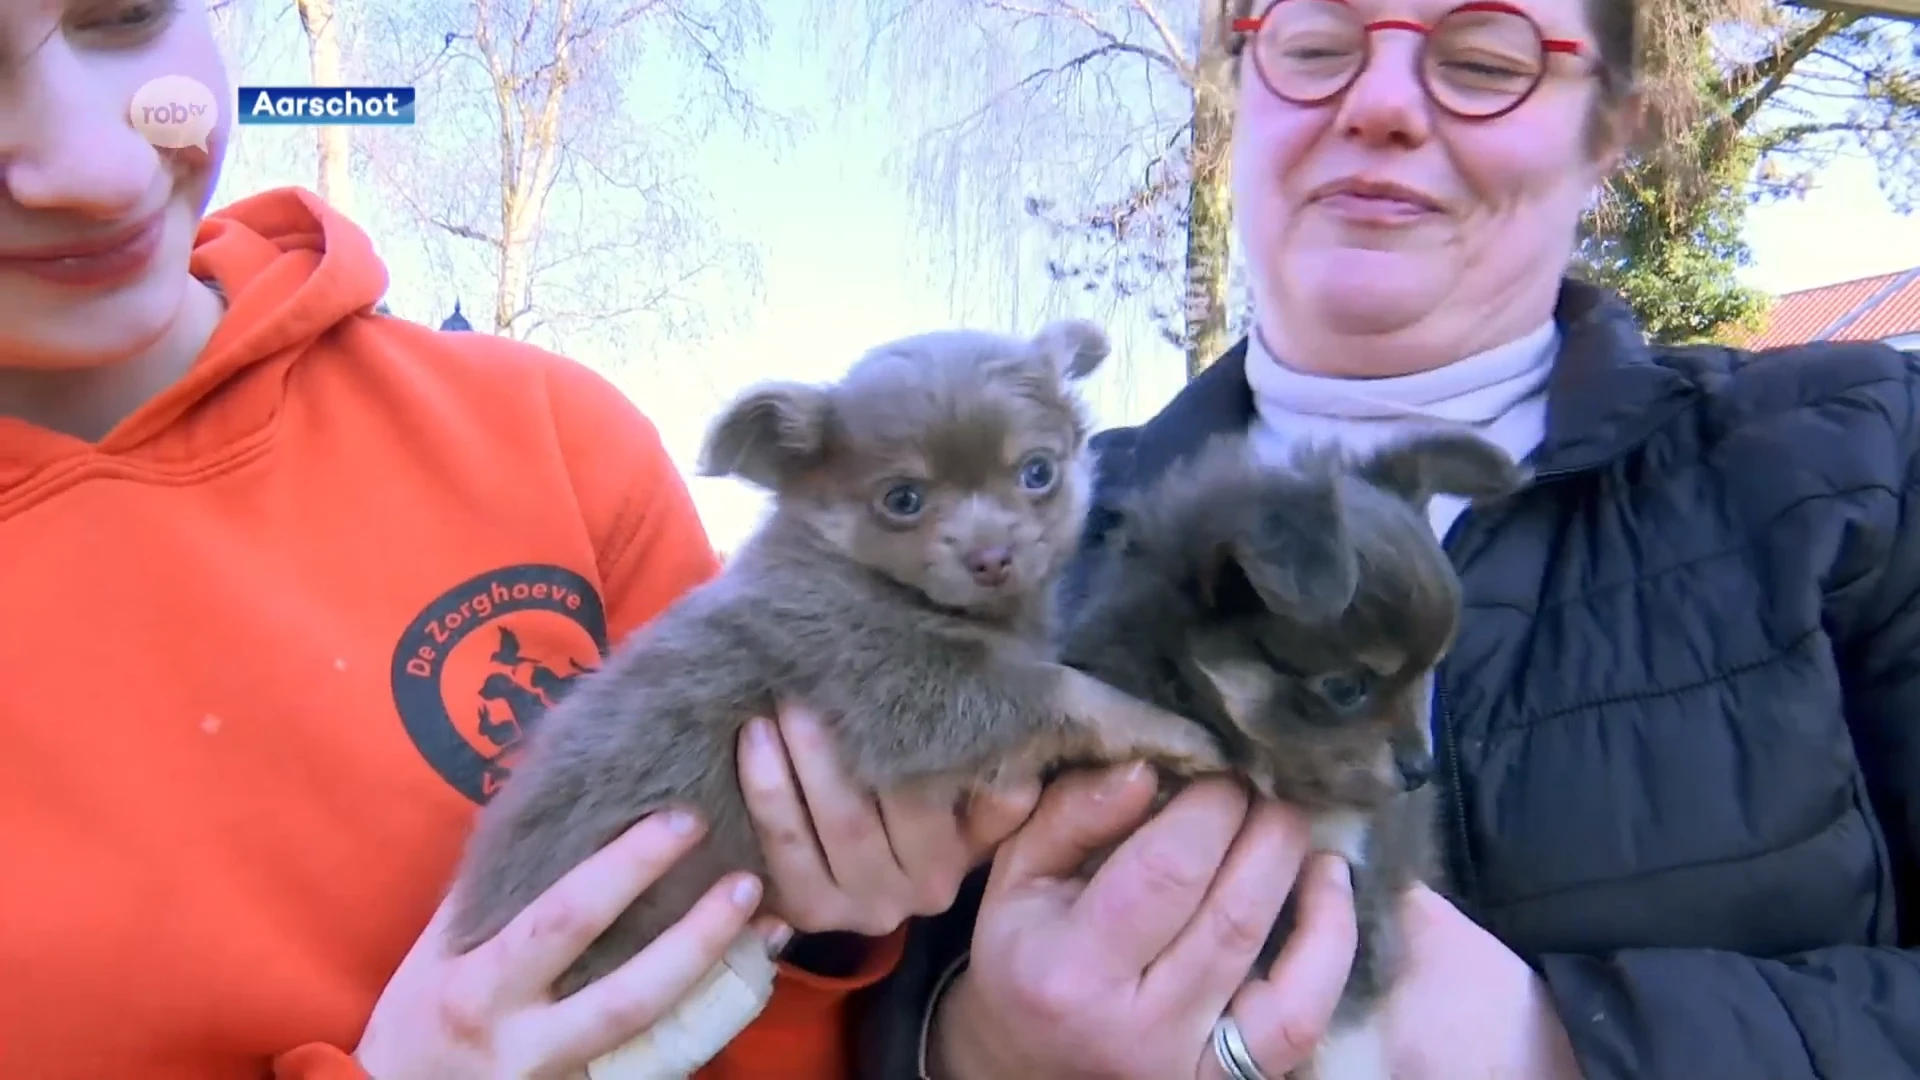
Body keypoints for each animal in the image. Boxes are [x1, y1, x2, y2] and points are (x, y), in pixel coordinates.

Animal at [447, 319, 1221, 1076]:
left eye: (1039, 472)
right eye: (903, 499)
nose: (992, 557)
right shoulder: (899, 691)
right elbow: (1065, 693)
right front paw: (1174, 731)